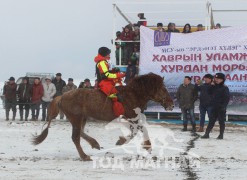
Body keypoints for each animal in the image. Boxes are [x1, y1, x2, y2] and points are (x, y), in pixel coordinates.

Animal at [31, 73, 175, 160]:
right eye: (163, 89)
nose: (171, 105)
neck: (133, 94)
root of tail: (61, 97)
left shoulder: (128, 119)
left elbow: (136, 131)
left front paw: (125, 141)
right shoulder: (131, 117)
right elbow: (140, 130)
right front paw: (145, 146)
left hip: (81, 118)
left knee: (81, 133)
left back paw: (94, 143)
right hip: (77, 118)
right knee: (75, 137)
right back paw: (84, 156)